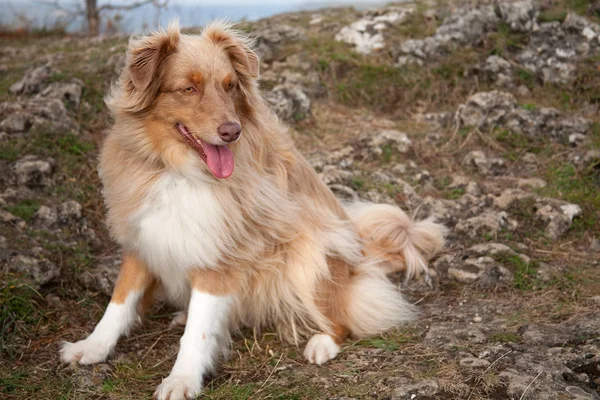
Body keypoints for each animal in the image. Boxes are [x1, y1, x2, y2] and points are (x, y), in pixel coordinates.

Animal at [59, 21, 446, 400]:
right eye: (188, 89)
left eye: (230, 86)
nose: (232, 131)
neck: (179, 169)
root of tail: (363, 257)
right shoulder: (143, 235)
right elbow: (119, 300)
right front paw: (91, 346)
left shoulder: (221, 255)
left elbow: (198, 333)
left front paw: (182, 379)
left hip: (310, 254)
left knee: (342, 318)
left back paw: (321, 343)